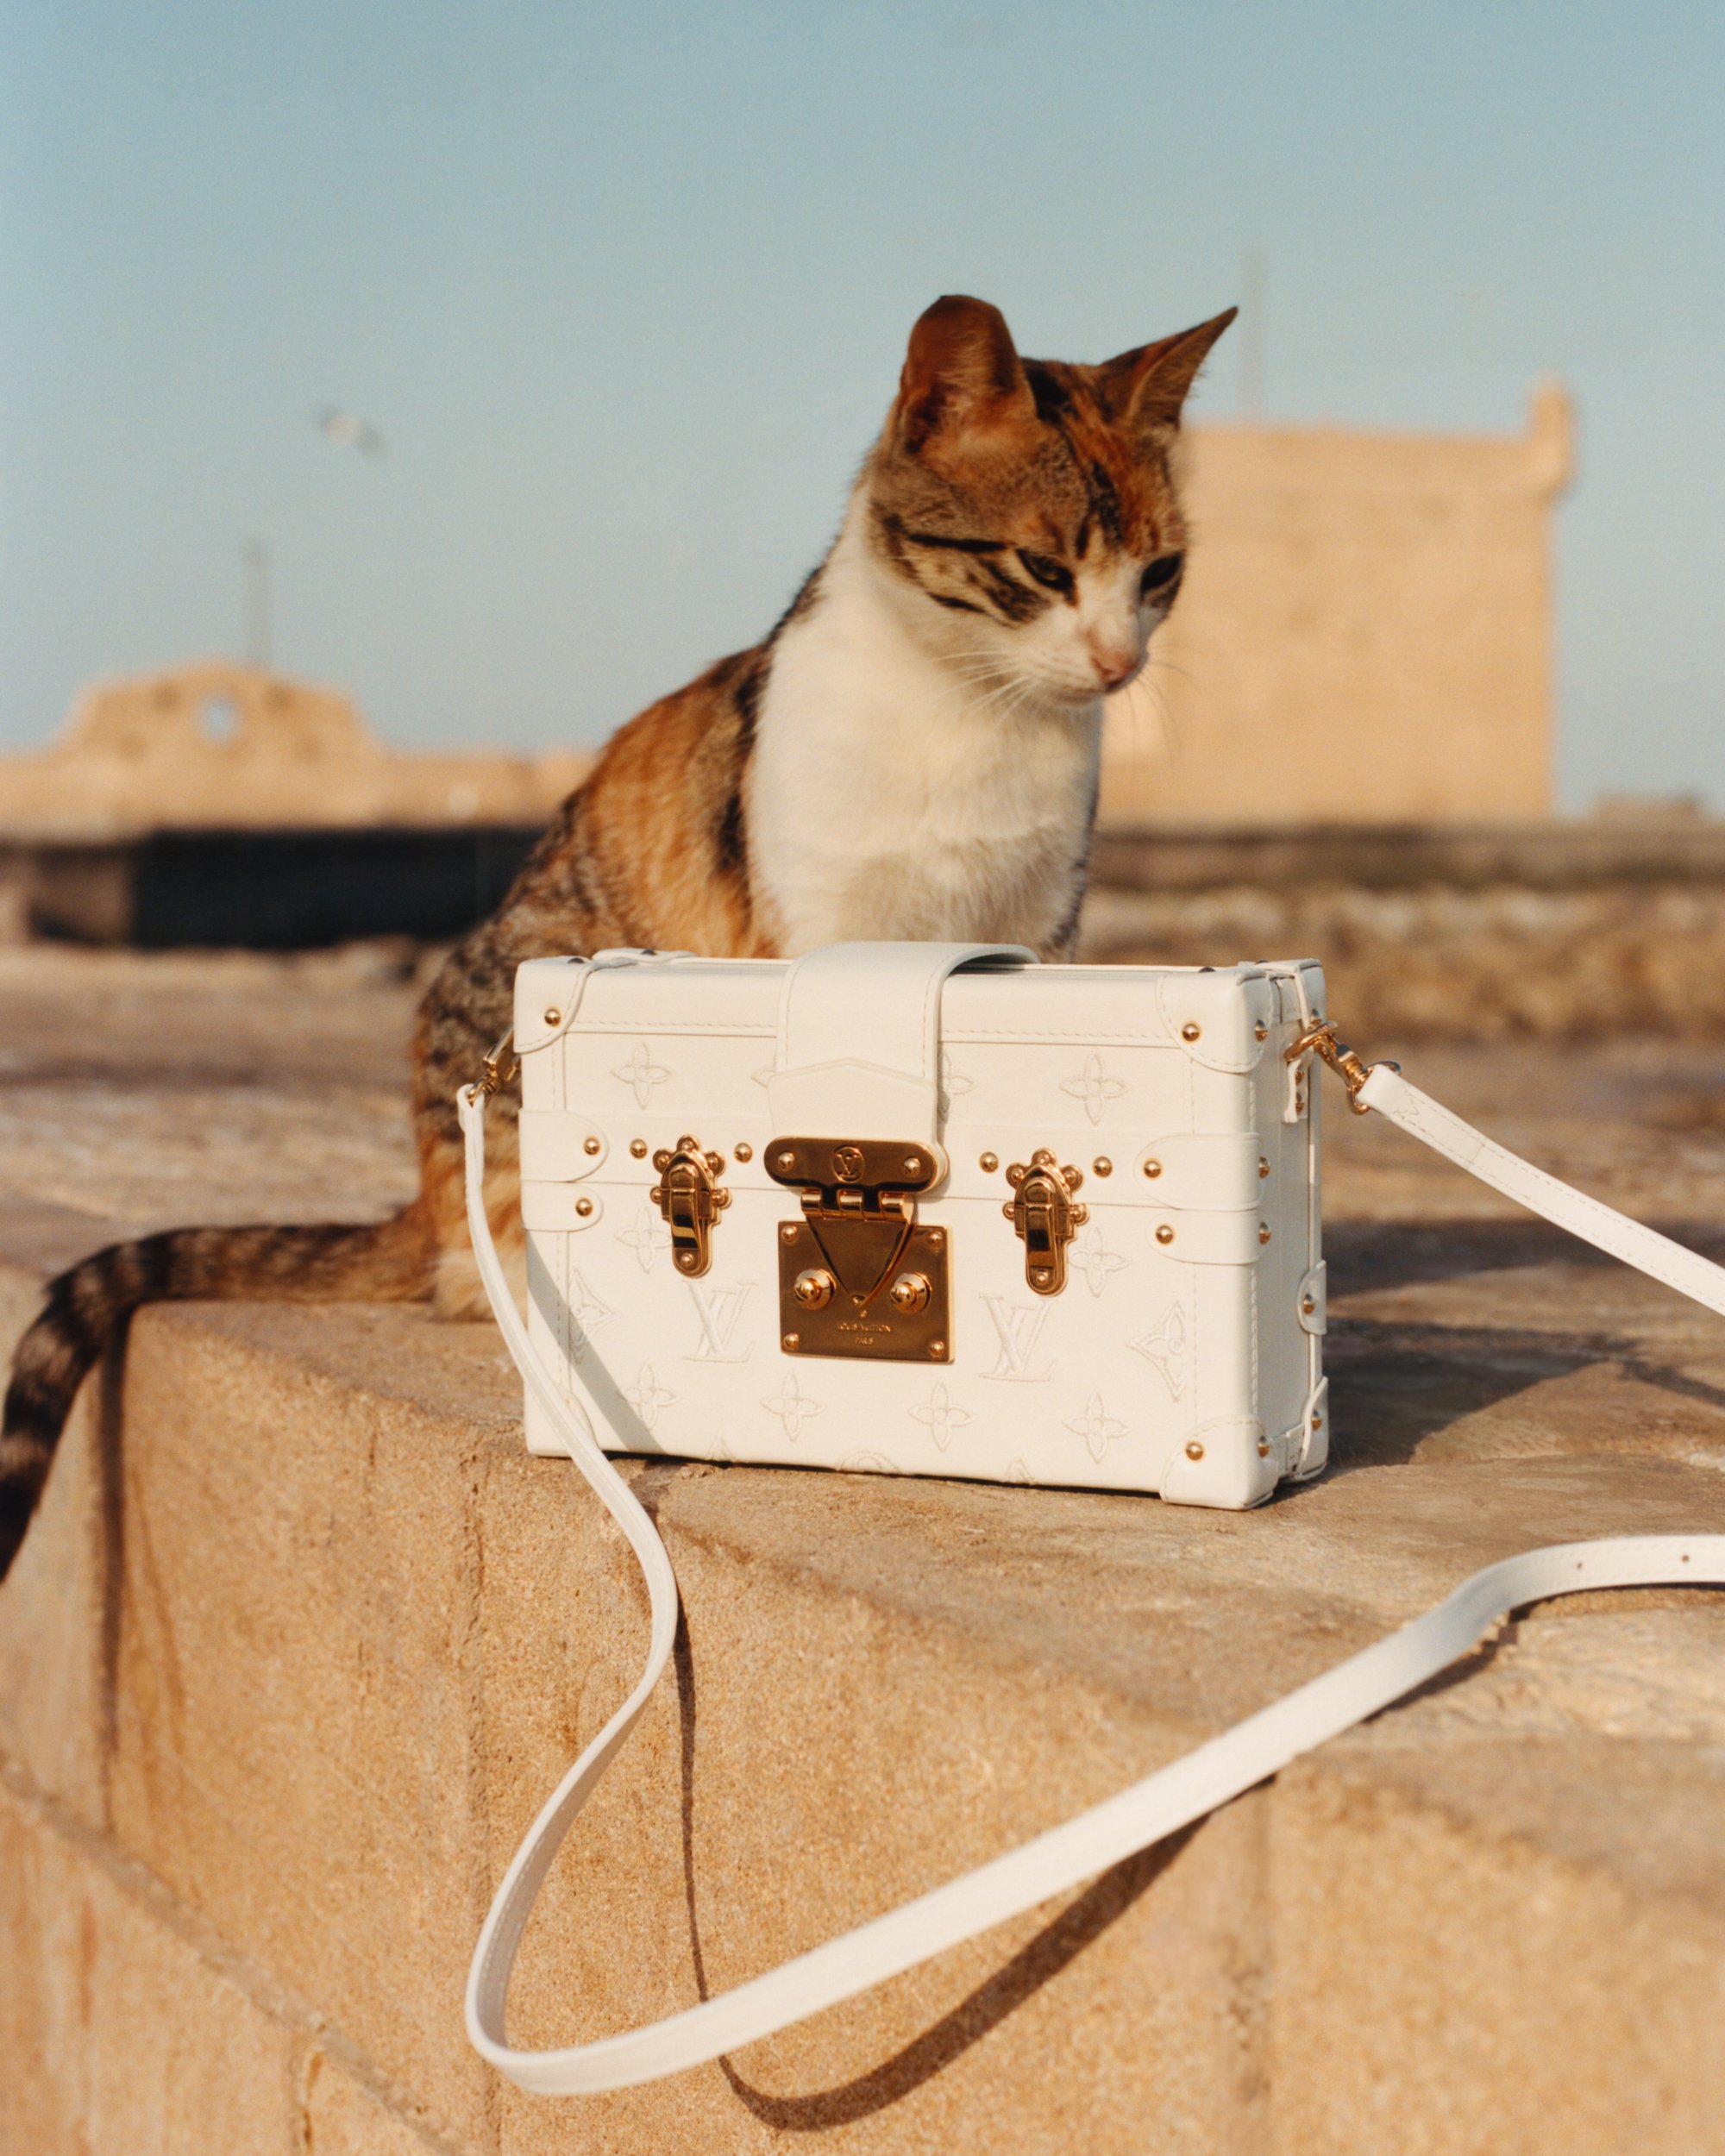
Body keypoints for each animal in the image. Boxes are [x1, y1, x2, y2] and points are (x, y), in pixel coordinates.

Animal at [3, 291, 1242, 1570]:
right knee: (469, 1258)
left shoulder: (1039, 927)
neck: (971, 715)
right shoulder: (812, 925)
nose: (1118, 661)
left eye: (1160, 573)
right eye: (1043, 567)